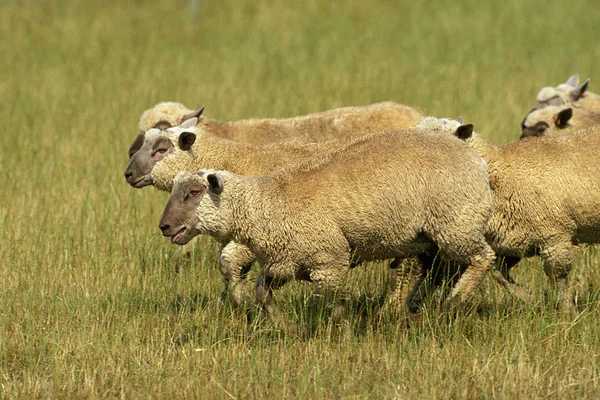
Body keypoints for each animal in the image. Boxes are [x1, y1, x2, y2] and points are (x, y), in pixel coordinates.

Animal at [157, 126, 494, 326]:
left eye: (194, 193)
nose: (164, 226)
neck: (267, 202)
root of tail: (475, 159)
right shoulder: (285, 262)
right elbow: (262, 295)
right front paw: (284, 325)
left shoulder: (328, 261)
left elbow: (333, 303)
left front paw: (337, 331)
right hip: (428, 237)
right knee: (428, 271)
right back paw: (407, 309)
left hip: (456, 222)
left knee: (482, 258)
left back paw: (453, 302)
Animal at [436, 119, 600, 312]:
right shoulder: (511, 242)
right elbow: (499, 274)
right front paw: (529, 298)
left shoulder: (554, 237)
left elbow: (558, 278)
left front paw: (568, 312)